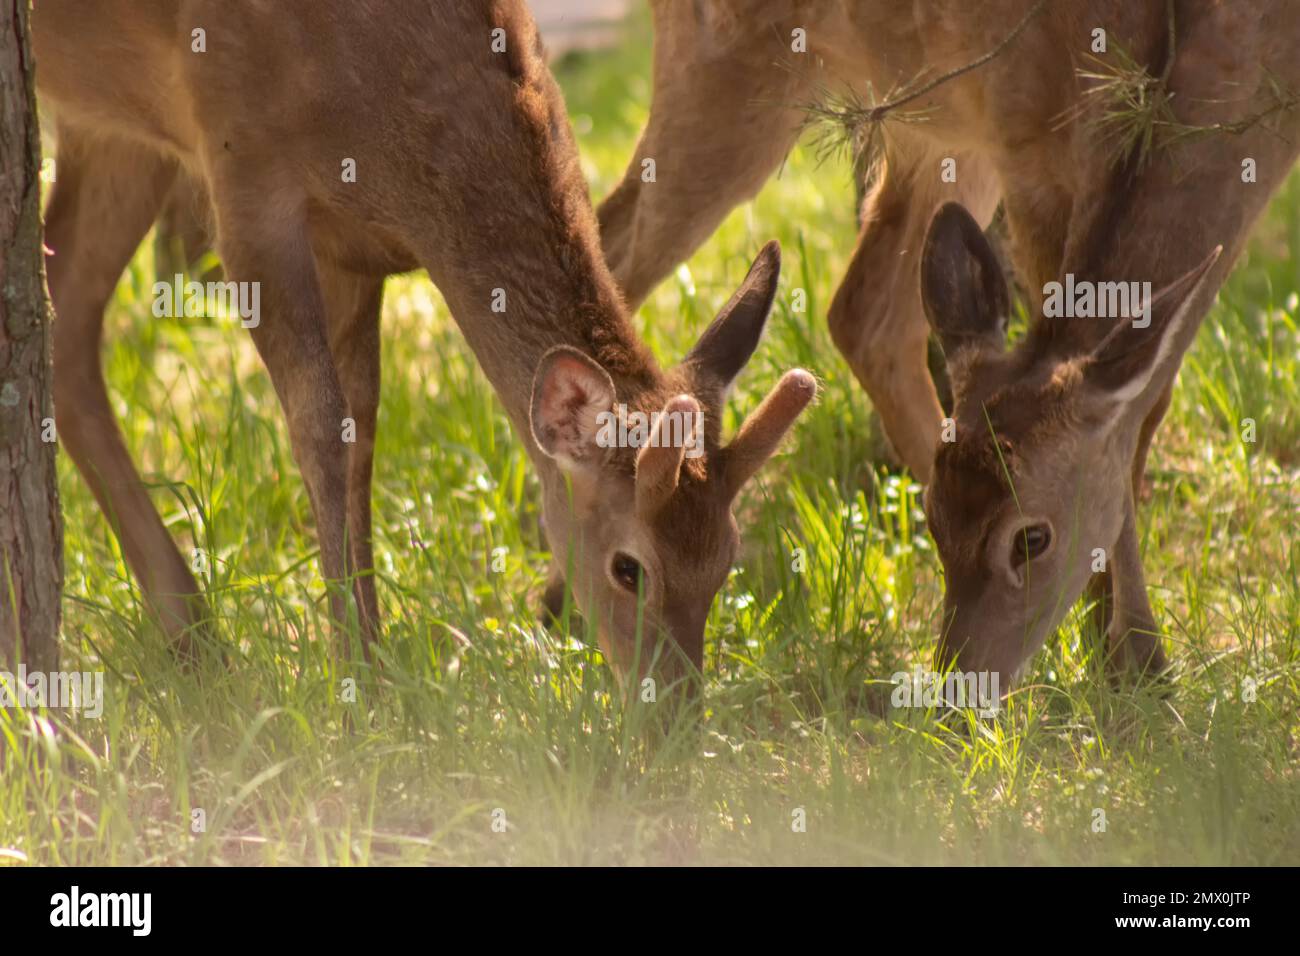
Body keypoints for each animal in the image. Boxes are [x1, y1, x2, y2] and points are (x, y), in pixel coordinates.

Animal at [30, 1, 811, 686]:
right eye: (628, 567)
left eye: (726, 559)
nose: (675, 716)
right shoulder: (241, 173)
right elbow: (320, 430)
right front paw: (358, 685)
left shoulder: (349, 252)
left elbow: (362, 430)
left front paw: (376, 658)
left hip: (116, 125)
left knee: (64, 318)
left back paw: (192, 636)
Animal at [595, 0, 1300, 686]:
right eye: (936, 520)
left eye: (1031, 539)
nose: (961, 683)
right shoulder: (1033, 136)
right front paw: (1134, 668)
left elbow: (1147, 399)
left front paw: (1135, 663)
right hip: (726, 64)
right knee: (613, 241)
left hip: (934, 123)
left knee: (863, 311)